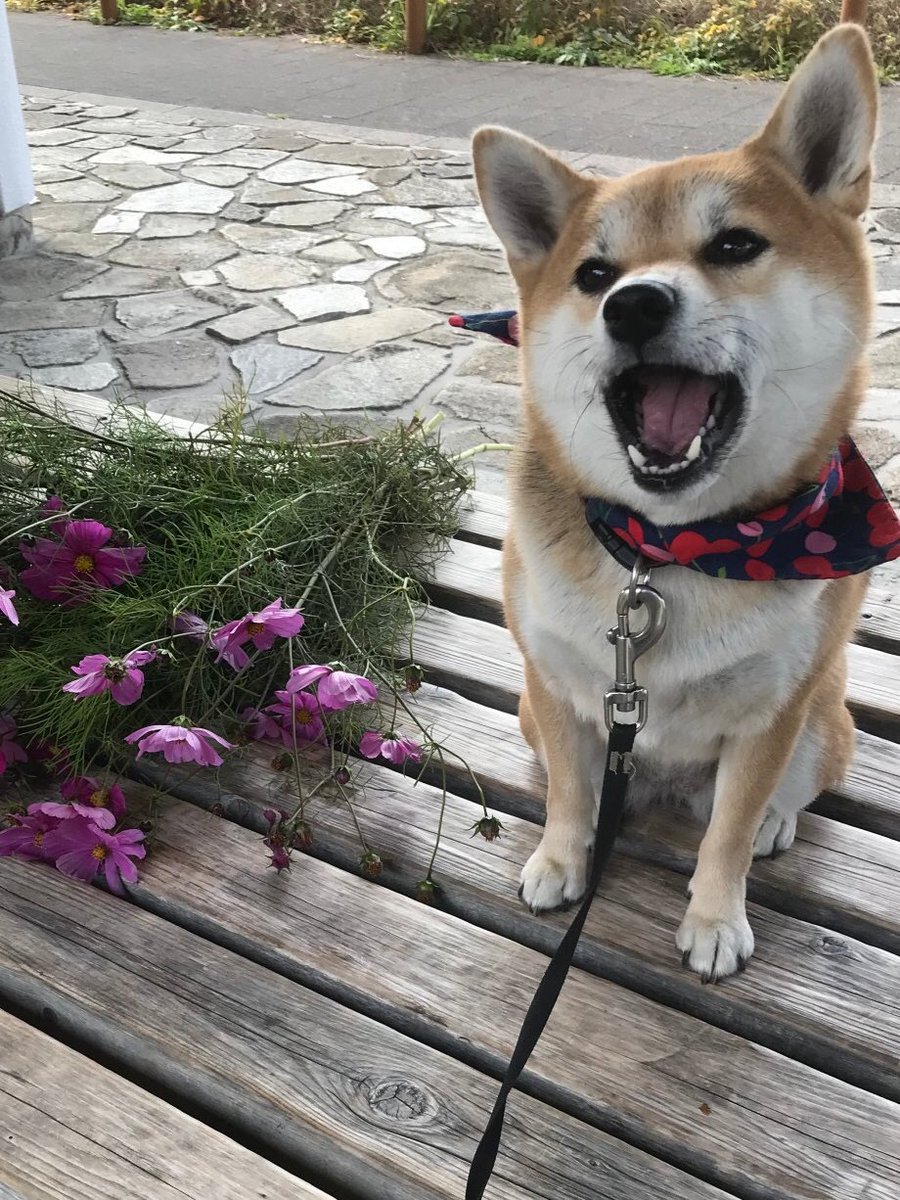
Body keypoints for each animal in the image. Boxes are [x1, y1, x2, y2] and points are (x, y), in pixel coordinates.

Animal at [475, 11, 883, 984]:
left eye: (734, 245)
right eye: (593, 274)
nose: (634, 304)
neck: (668, 551)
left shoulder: (772, 714)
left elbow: (725, 836)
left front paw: (714, 919)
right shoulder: (557, 684)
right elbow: (572, 797)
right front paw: (561, 857)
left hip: (824, 718)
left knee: (778, 797)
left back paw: (775, 822)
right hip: (532, 717)